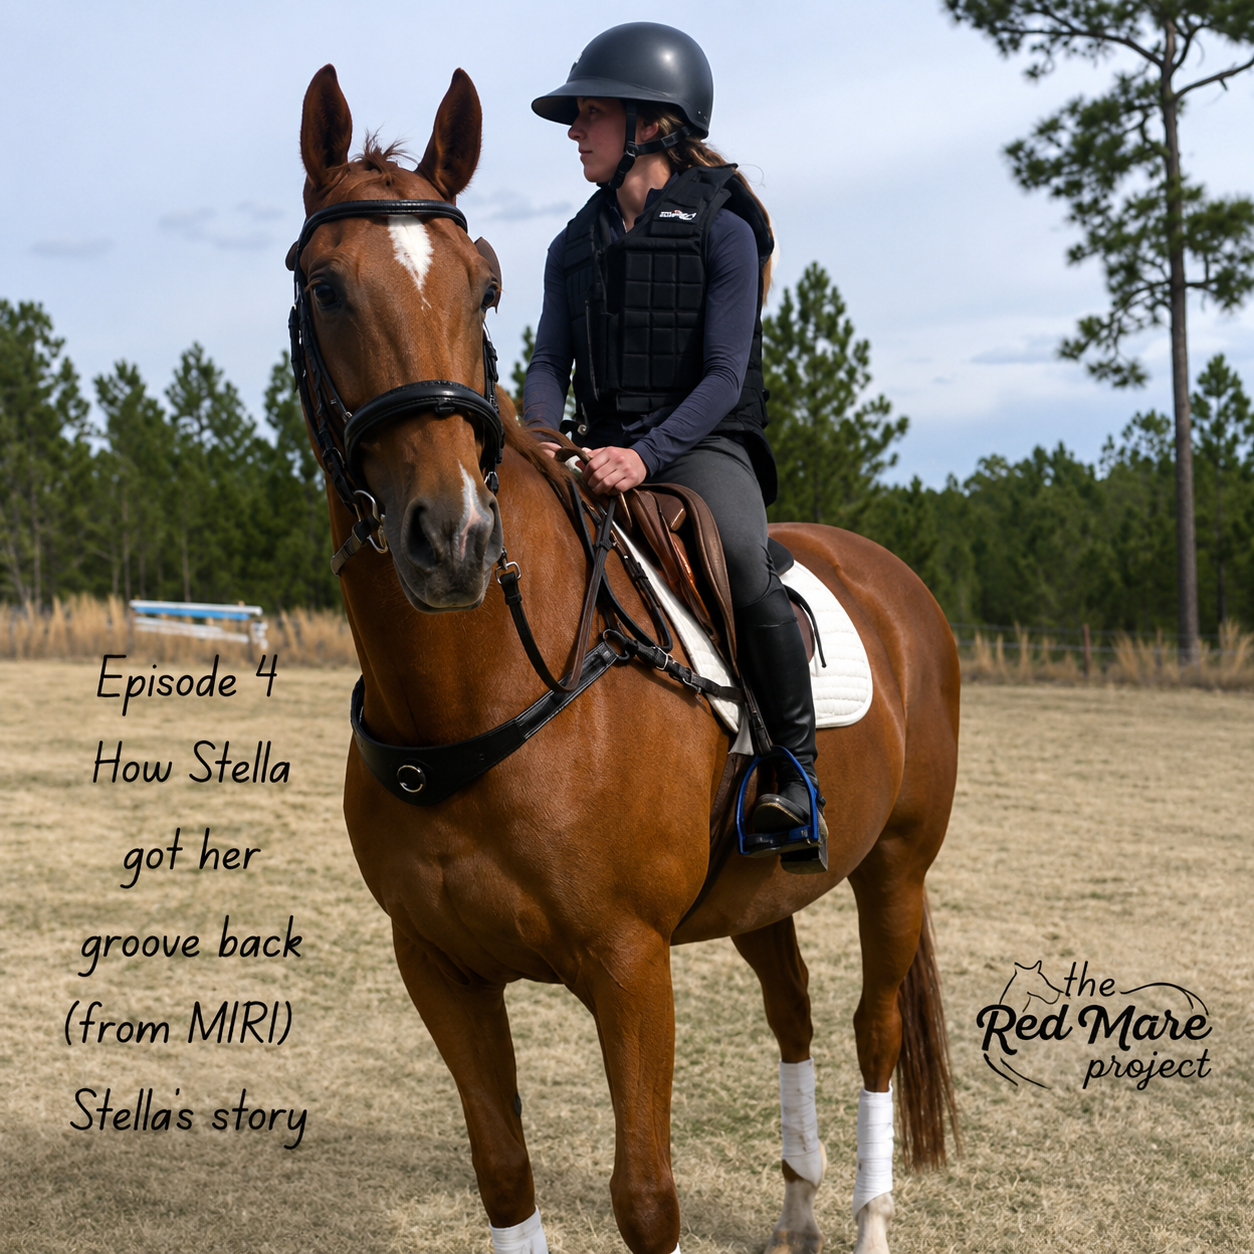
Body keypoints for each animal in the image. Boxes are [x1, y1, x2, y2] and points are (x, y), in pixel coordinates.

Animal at [290, 62, 961, 1254]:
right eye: (325, 287)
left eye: (484, 287)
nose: (454, 539)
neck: (478, 697)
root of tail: (897, 581)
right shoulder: (439, 971)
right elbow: (504, 1173)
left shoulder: (630, 968)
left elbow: (646, 1198)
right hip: (764, 891)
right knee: (792, 1011)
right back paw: (798, 1209)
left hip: (897, 866)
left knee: (873, 1029)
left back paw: (868, 1219)